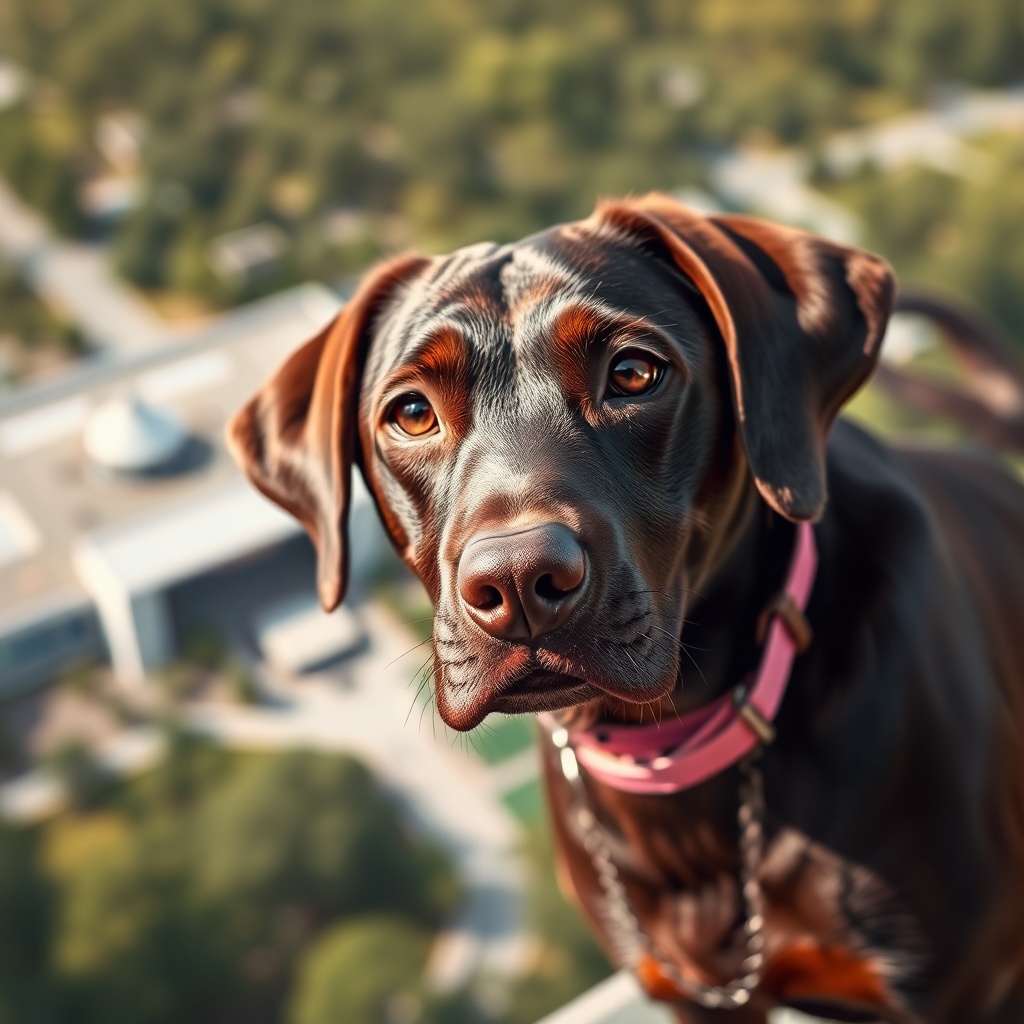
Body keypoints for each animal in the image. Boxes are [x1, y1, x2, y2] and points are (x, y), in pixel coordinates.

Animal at [228, 195, 1024, 1019]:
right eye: (412, 413)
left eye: (634, 374)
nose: (518, 581)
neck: (678, 766)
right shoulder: (691, 994)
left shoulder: (960, 988)